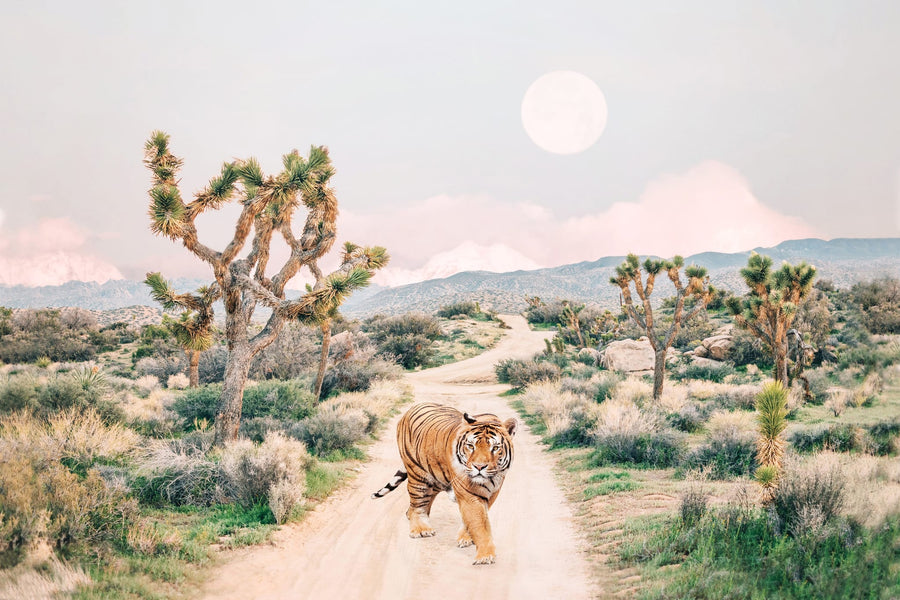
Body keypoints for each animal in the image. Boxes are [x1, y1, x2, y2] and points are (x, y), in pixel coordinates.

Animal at [371, 402, 517, 565]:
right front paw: (485, 556)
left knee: (421, 502)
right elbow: (479, 522)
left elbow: (475, 519)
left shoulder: (493, 492)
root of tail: (412, 408)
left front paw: (466, 538)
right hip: (418, 475)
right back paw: (421, 529)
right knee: (417, 504)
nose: (479, 467)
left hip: (435, 478)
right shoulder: (469, 493)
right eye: (471, 446)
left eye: (495, 448)